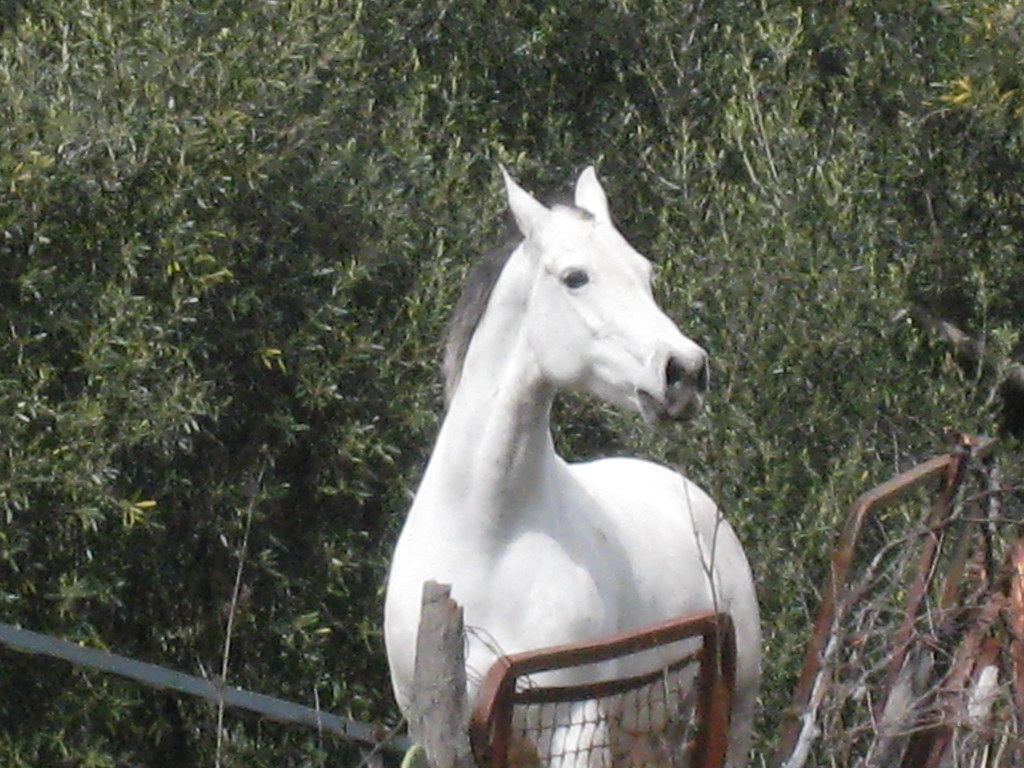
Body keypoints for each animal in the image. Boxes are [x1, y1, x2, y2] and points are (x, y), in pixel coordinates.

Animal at [384, 166, 761, 767]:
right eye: (575, 277)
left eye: (644, 272)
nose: (684, 372)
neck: (488, 537)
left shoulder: (576, 726)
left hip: (729, 711)